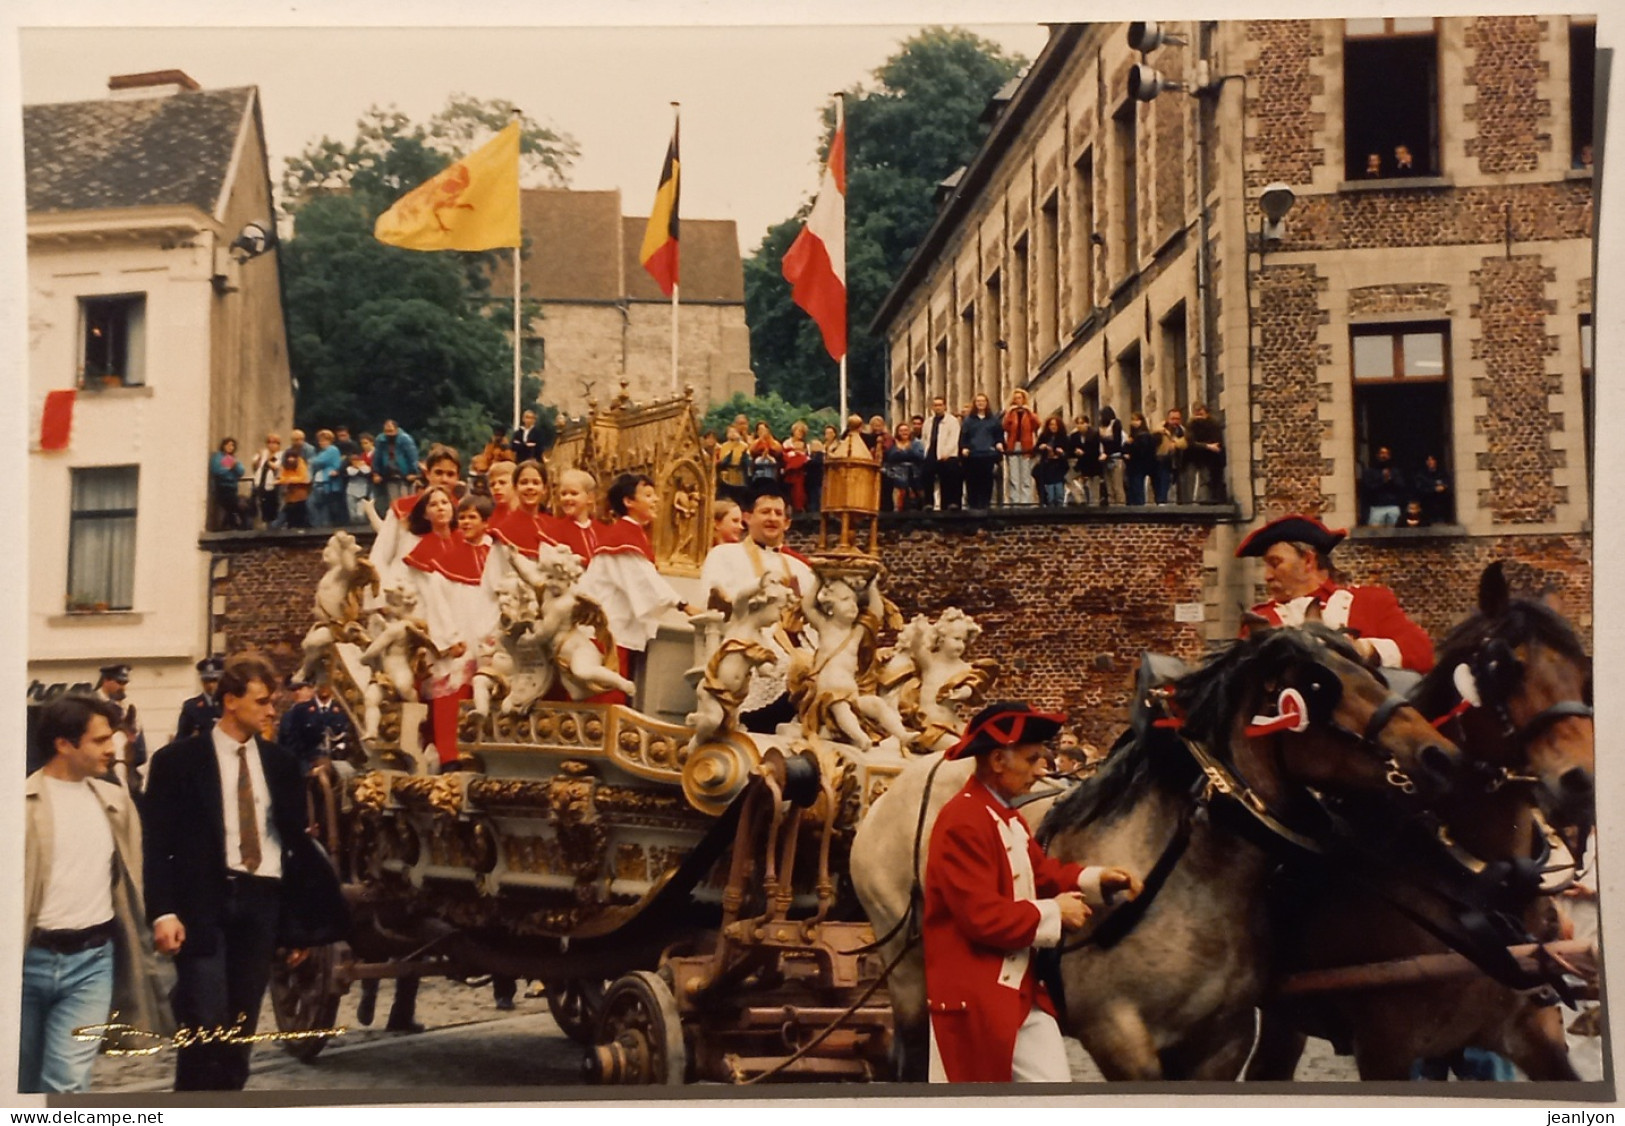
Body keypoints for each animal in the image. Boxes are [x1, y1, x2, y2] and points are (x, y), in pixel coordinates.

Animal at [1248, 562, 1592, 1078]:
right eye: (1502, 667)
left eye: (1582, 669)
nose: (1582, 780)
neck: (1479, 876)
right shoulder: (1385, 1049)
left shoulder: (1534, 1034)